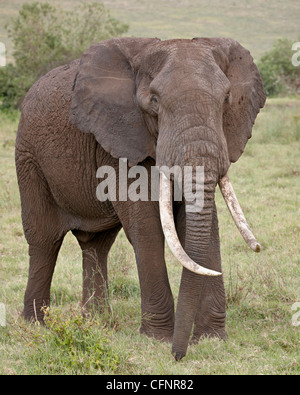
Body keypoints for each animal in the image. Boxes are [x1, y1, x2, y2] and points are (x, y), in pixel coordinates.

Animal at [15, 38, 266, 362]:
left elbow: (205, 227)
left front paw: (212, 338)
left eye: (226, 99)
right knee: (44, 240)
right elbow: (148, 228)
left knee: (97, 244)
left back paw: (97, 323)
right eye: (154, 102)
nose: (178, 355)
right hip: (28, 157)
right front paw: (158, 338)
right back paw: (36, 325)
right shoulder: (119, 139)